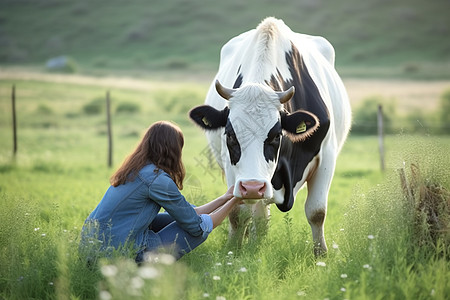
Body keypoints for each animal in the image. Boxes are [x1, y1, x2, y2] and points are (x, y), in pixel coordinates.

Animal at [188, 17, 350, 255]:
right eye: (230, 135)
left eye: (275, 135)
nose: (253, 186)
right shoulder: (231, 166)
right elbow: (238, 213)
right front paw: (234, 251)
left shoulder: (327, 157)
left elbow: (317, 212)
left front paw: (320, 255)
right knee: (258, 216)